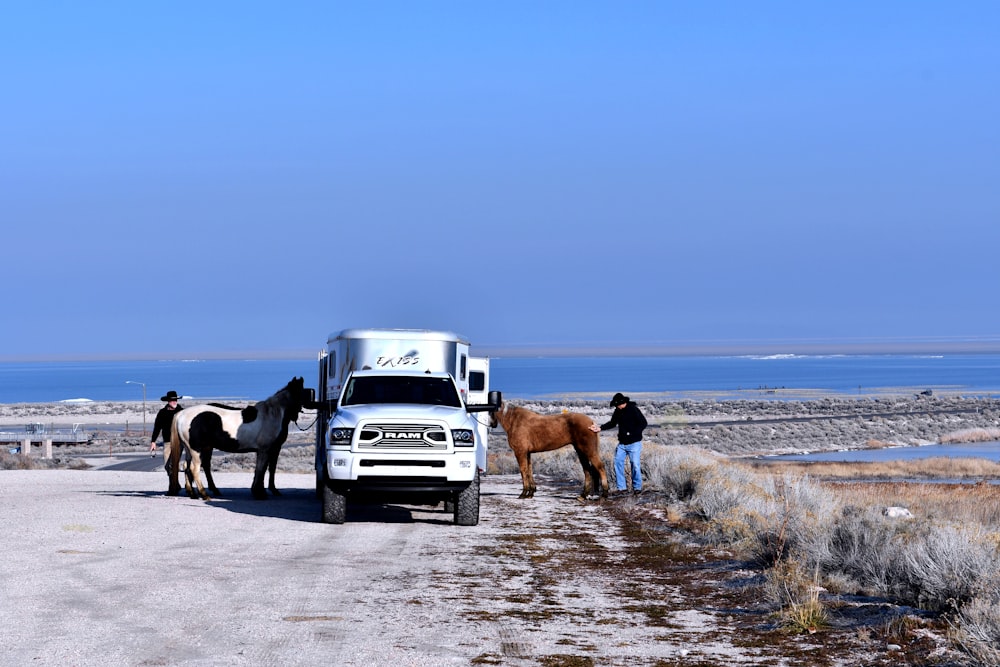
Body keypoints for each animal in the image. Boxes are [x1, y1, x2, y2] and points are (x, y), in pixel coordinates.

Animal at [167, 376, 308, 500]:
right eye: (302, 392)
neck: (272, 414)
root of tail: (182, 414)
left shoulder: (271, 450)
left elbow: (265, 469)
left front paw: (264, 491)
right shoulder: (265, 450)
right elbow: (261, 470)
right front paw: (260, 493)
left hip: (189, 449)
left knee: (186, 466)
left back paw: (193, 494)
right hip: (196, 450)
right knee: (194, 469)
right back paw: (204, 495)